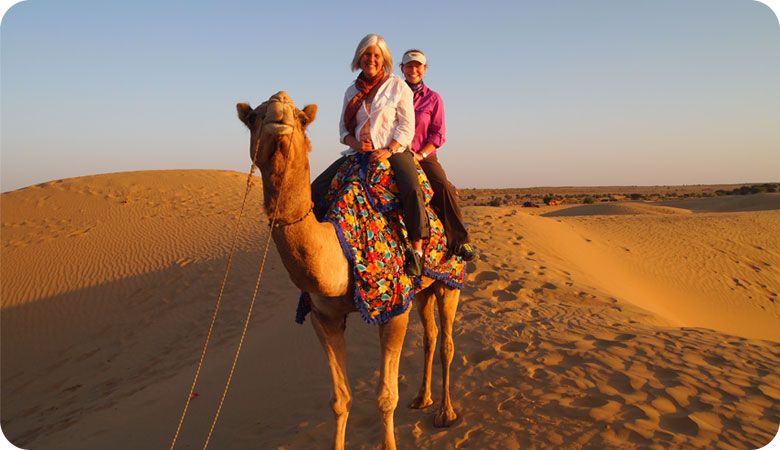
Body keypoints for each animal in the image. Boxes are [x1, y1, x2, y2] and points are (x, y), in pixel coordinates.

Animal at [235, 91, 460, 450]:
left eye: (301, 118)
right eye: (254, 116)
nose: (279, 112)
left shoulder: (393, 308)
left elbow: (386, 397)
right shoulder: (323, 316)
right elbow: (340, 399)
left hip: (450, 281)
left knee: (447, 343)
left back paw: (445, 413)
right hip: (424, 287)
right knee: (430, 335)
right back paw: (422, 399)